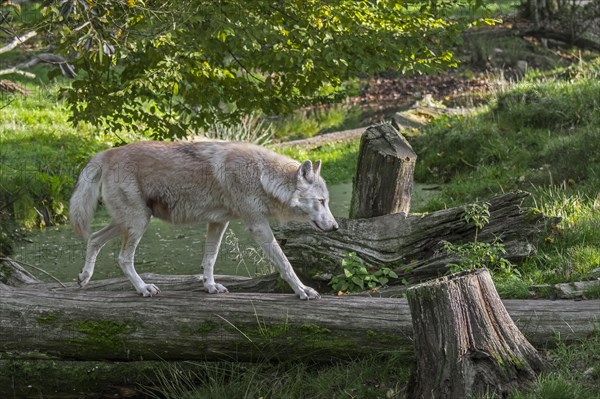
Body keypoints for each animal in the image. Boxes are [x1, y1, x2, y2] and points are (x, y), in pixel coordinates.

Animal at [69, 141, 338, 300]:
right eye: (322, 201)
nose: (335, 227)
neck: (262, 176)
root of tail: (108, 152)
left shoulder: (219, 223)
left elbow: (209, 259)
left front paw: (210, 286)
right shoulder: (257, 225)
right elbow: (285, 263)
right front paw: (303, 290)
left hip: (131, 221)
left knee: (94, 239)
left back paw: (84, 278)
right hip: (138, 223)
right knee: (123, 258)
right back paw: (143, 288)